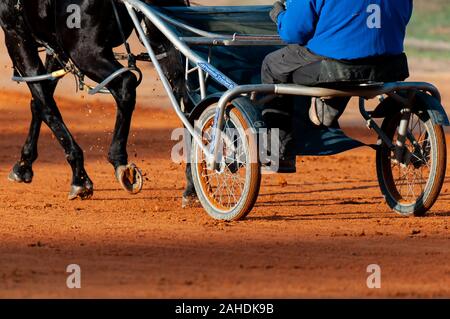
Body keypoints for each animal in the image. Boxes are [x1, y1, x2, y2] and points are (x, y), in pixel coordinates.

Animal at [0, 0, 194, 200]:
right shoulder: (54, 45)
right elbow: (39, 101)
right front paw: (24, 164)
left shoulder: (16, 35)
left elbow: (45, 104)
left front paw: (79, 177)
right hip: (161, 42)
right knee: (184, 100)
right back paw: (191, 185)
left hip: (85, 51)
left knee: (126, 84)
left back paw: (116, 161)